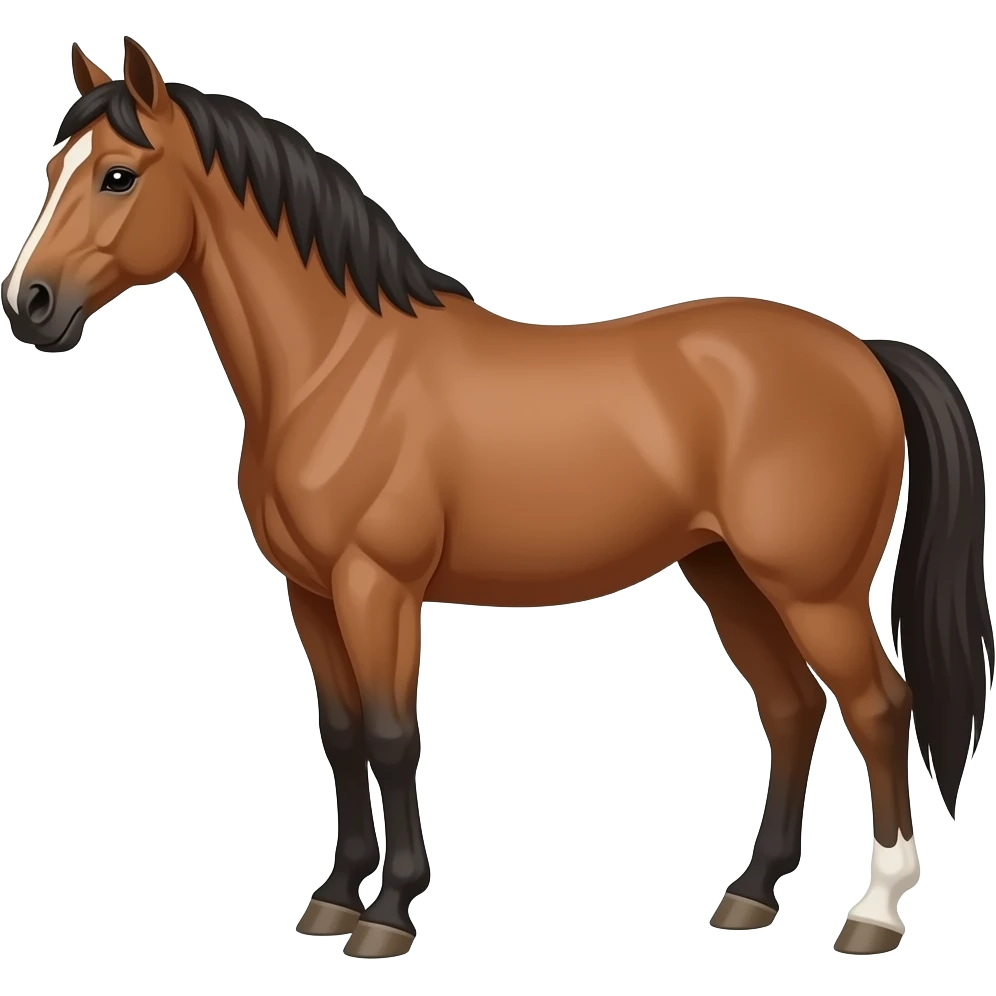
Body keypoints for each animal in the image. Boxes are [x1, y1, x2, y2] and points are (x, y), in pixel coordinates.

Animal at [3, 38, 991, 959]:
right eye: (53, 171)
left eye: (118, 175)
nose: (29, 305)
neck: (338, 366)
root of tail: (862, 354)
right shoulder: (311, 592)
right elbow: (342, 733)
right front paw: (335, 897)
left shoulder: (377, 586)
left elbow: (393, 735)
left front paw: (389, 913)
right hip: (728, 575)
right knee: (791, 710)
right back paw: (750, 895)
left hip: (813, 590)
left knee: (878, 708)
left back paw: (874, 912)